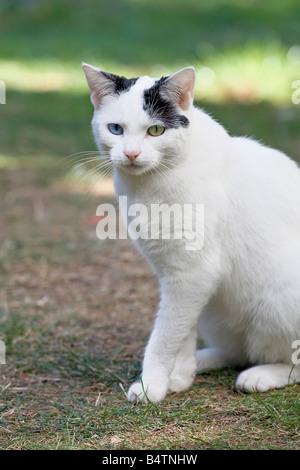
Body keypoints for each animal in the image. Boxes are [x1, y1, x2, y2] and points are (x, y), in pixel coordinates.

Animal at [82, 62, 300, 402]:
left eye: (155, 130)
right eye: (115, 129)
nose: (130, 154)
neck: (150, 185)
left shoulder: (192, 273)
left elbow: (164, 337)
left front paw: (151, 385)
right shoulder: (177, 275)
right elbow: (180, 331)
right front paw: (179, 377)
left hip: (279, 300)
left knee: (283, 359)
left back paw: (260, 375)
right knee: (239, 350)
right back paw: (204, 360)